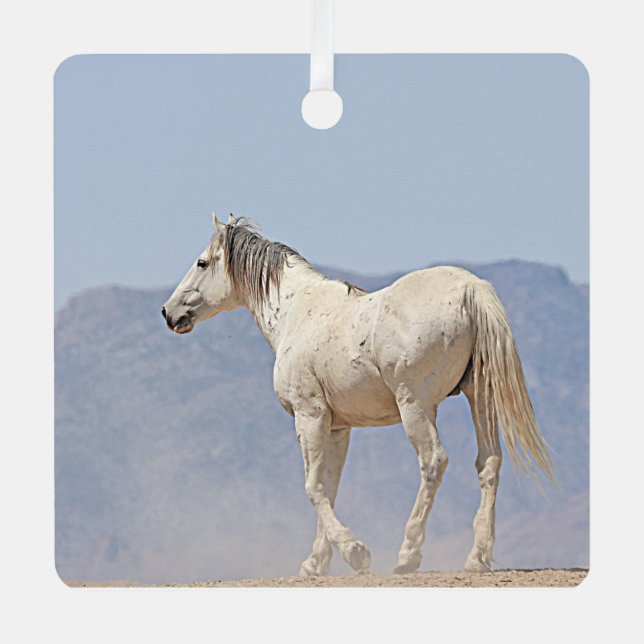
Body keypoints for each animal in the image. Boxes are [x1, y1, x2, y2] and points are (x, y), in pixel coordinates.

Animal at [162, 214, 555, 576]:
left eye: (201, 262)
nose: (168, 312)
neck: (297, 312)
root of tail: (470, 288)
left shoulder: (310, 416)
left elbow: (313, 487)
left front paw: (354, 553)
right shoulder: (338, 428)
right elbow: (329, 487)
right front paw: (316, 563)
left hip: (415, 405)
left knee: (433, 462)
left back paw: (408, 555)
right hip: (479, 398)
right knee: (488, 463)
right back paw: (477, 559)